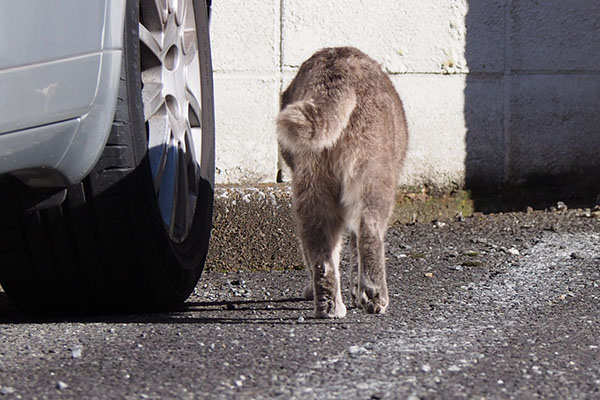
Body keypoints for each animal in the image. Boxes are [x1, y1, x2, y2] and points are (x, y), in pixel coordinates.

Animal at [276, 47, 408, 318]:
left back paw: (328, 305)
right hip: (373, 173)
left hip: (312, 181)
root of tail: (337, 71)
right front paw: (359, 294)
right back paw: (374, 296)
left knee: (319, 249)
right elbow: (356, 247)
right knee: (369, 230)